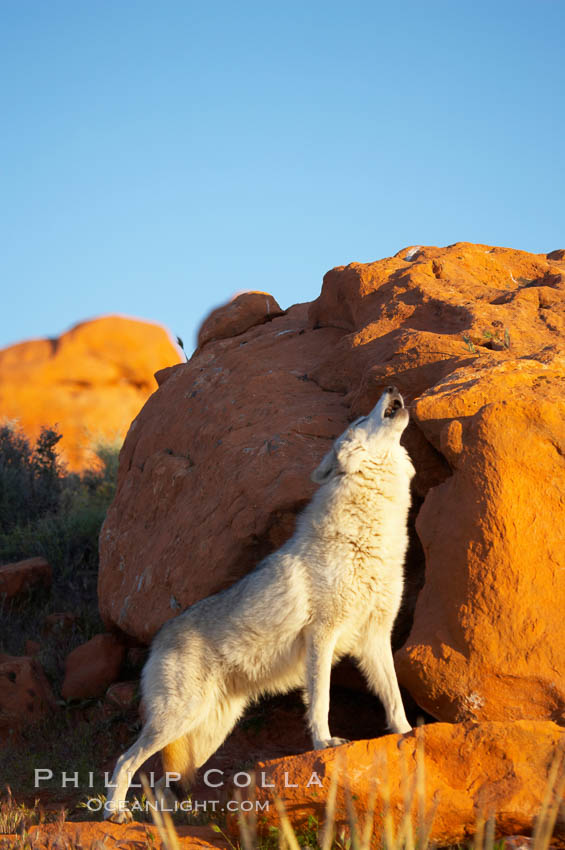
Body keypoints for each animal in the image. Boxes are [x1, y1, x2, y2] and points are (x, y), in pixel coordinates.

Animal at [107, 388, 414, 820]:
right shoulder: (322, 636)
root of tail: (157, 639)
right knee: (125, 761)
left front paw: (409, 734)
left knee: (164, 780)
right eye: (358, 420)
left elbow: (394, 697)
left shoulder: (375, 638)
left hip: (206, 734)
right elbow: (320, 701)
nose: (391, 389)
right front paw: (325, 743)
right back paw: (114, 812)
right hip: (178, 719)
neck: (367, 538)